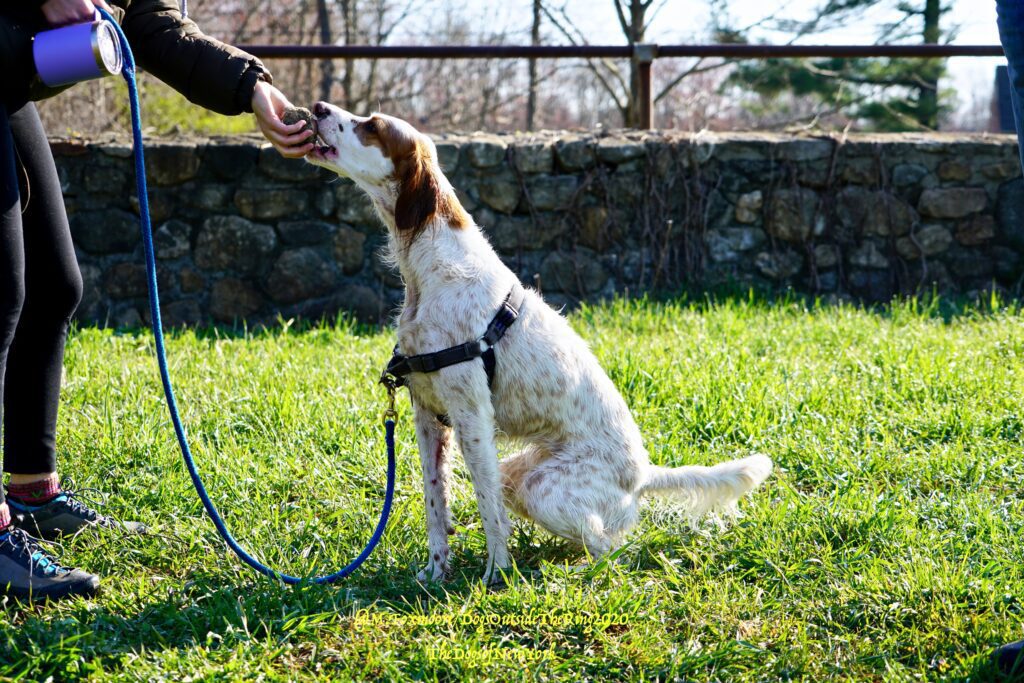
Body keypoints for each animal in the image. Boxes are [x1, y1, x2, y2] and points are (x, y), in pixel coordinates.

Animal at [307, 104, 770, 585]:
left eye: (372, 125)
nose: (319, 108)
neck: (430, 269)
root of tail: (643, 475)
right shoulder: (428, 415)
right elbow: (436, 503)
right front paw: (436, 573)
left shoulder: (471, 414)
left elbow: (487, 506)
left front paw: (495, 573)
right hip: (520, 474)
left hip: (543, 489)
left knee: (609, 548)